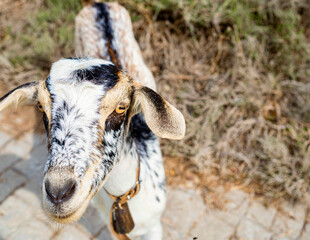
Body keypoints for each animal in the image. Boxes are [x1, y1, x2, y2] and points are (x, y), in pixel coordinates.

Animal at [0, 1, 184, 240]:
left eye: (121, 107)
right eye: (41, 106)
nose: (58, 193)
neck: (122, 198)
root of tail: (99, 4)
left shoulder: (154, 227)